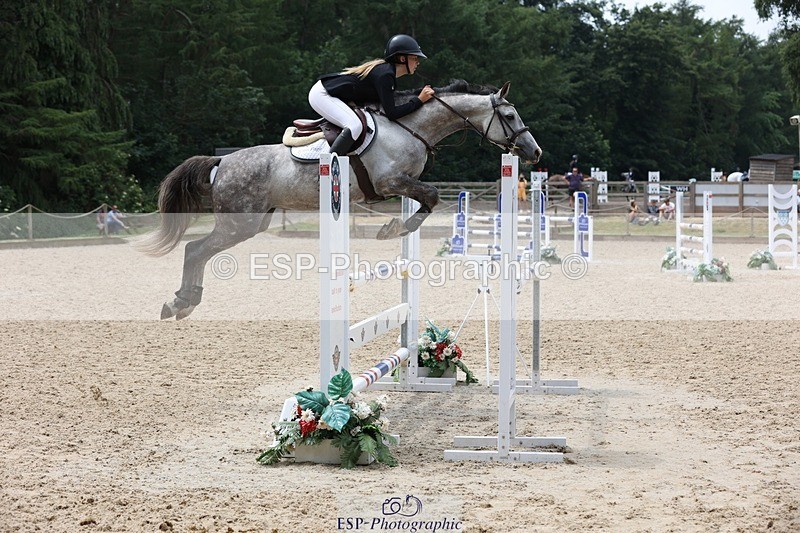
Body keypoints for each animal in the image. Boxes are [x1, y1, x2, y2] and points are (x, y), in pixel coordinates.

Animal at [142, 79, 542, 319]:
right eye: (509, 115)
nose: (533, 151)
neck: (410, 128)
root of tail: (222, 162)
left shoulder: (401, 184)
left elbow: (427, 198)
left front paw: (395, 226)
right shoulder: (389, 181)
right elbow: (429, 197)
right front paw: (393, 229)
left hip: (251, 222)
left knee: (198, 251)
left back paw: (183, 302)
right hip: (239, 223)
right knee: (195, 249)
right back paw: (180, 302)